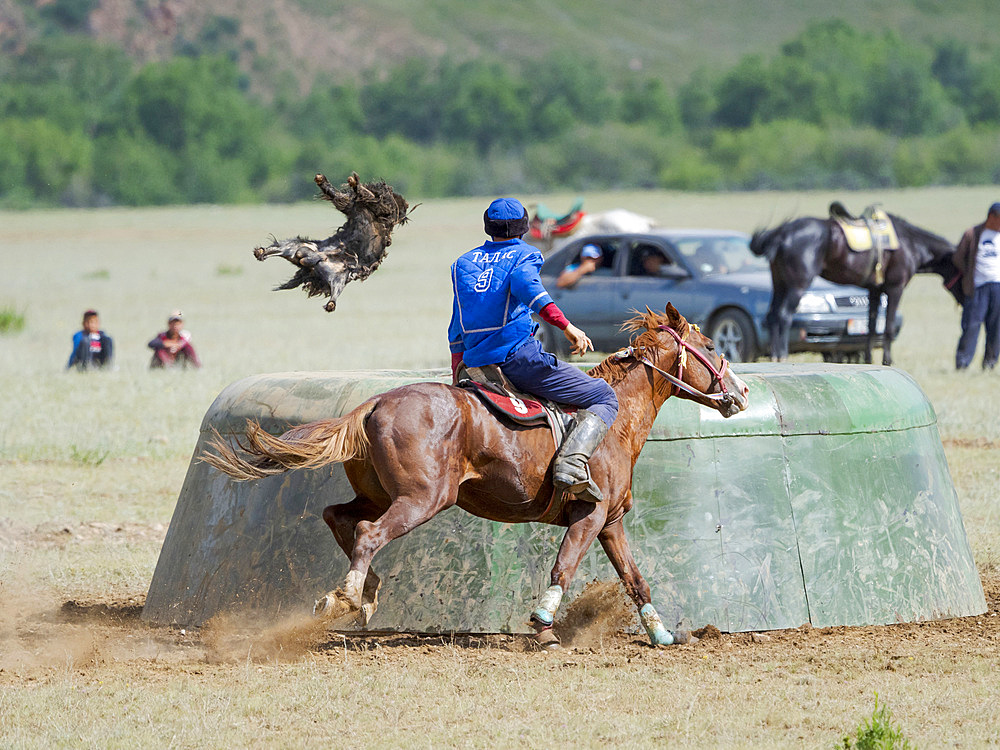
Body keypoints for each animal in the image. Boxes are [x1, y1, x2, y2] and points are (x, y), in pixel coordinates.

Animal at [203, 302, 752, 648]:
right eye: (707, 344)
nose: (743, 391)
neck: (614, 418)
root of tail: (374, 402)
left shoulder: (611, 522)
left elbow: (636, 580)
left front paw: (662, 635)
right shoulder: (590, 514)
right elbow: (564, 568)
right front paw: (544, 625)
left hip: (380, 493)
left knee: (339, 516)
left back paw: (363, 594)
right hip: (421, 499)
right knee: (367, 532)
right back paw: (350, 594)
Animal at [752, 204, 956, 366]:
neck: (910, 243)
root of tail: (782, 233)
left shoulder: (875, 290)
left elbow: (872, 326)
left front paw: (869, 360)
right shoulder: (895, 288)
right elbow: (888, 328)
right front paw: (887, 361)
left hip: (780, 283)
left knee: (772, 316)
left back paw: (774, 355)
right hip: (798, 285)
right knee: (784, 315)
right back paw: (782, 355)